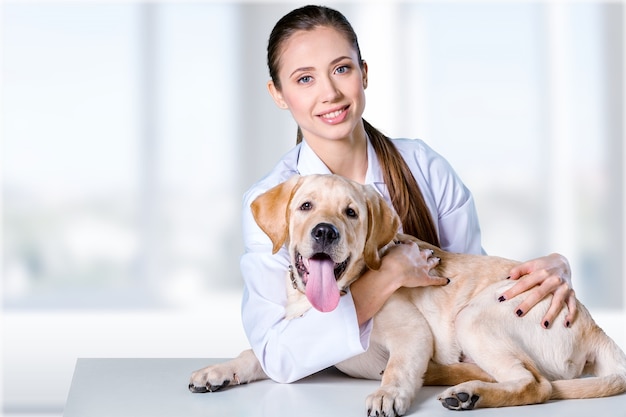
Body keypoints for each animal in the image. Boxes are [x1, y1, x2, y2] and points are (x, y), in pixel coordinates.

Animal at [189, 174, 624, 414]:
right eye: (306, 206)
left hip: (475, 315)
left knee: (538, 384)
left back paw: (468, 393)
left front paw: (387, 395)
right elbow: (256, 353)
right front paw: (217, 371)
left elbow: (398, 367)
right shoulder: (295, 347)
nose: (325, 232)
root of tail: (595, 327)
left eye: (351, 213)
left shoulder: (411, 333)